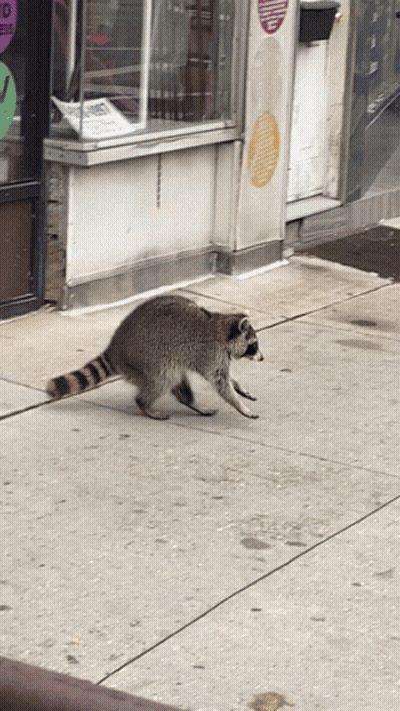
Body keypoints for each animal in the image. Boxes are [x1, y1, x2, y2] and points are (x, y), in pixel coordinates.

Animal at [47, 294, 263, 419]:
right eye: (254, 345)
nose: (262, 358)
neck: (222, 329)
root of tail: (115, 346)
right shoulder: (211, 354)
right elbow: (220, 383)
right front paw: (240, 405)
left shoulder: (218, 356)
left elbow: (226, 378)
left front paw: (238, 386)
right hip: (148, 359)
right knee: (164, 379)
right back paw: (144, 404)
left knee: (177, 380)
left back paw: (192, 404)